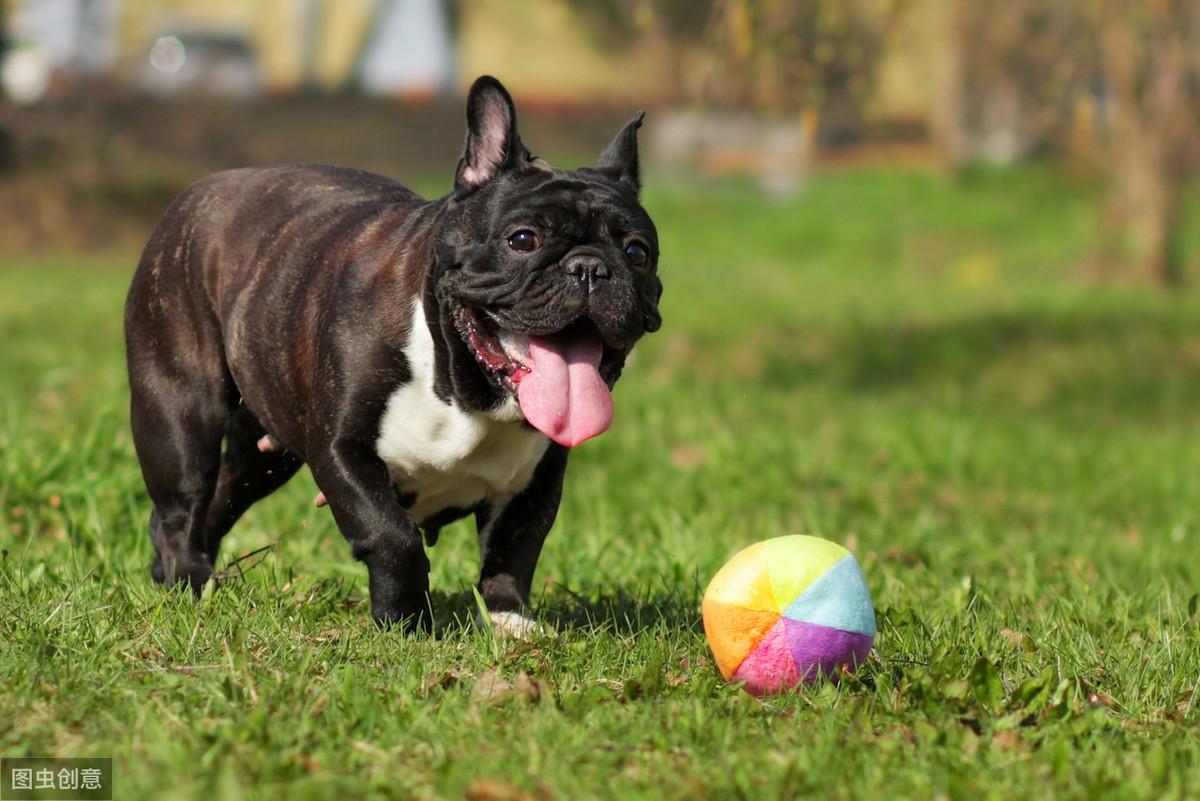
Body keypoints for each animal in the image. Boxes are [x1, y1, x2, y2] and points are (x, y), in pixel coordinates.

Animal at [125, 76, 667, 633]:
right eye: (523, 239)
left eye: (637, 253)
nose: (589, 267)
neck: (457, 380)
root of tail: (200, 191)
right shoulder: (343, 450)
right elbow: (392, 535)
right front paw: (405, 622)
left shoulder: (535, 484)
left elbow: (513, 553)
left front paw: (508, 620)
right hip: (180, 413)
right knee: (183, 501)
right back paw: (188, 576)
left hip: (264, 454)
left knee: (222, 494)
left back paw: (190, 580)